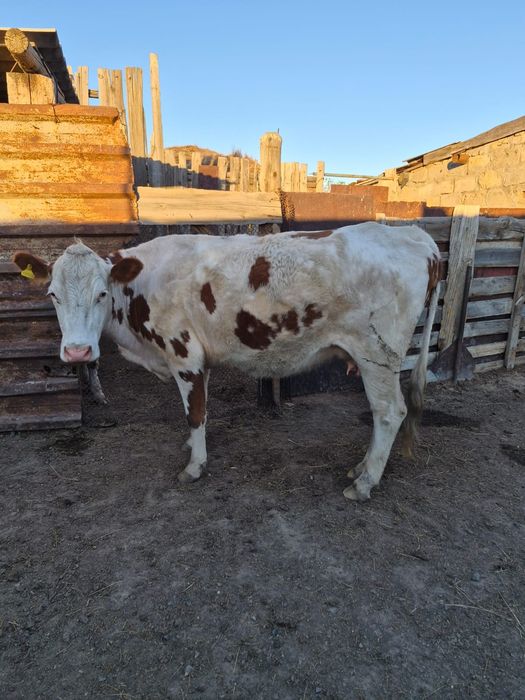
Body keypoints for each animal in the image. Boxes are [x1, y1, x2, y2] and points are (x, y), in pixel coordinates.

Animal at [14, 223, 441, 501]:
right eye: (52, 294)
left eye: (102, 294)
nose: (78, 352)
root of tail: (416, 237)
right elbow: (195, 413)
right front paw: (192, 447)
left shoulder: (184, 354)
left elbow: (195, 413)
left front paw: (195, 466)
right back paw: (360, 468)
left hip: (377, 355)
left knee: (389, 412)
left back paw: (365, 482)